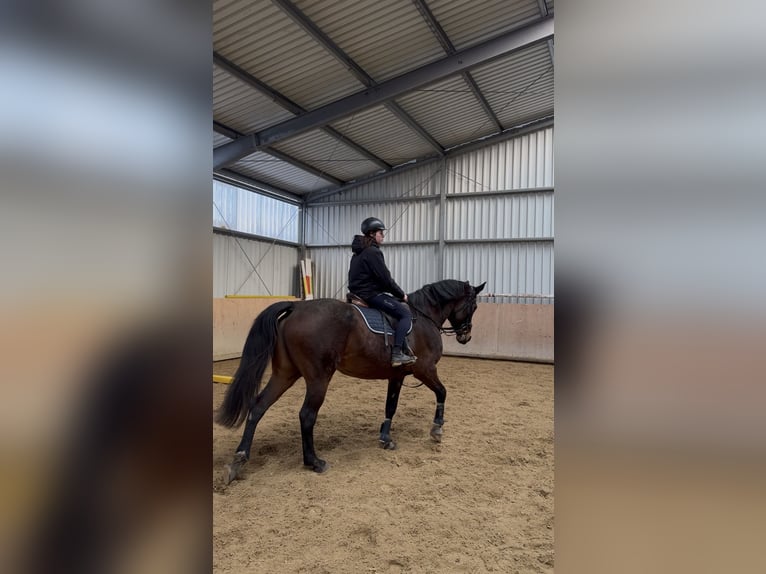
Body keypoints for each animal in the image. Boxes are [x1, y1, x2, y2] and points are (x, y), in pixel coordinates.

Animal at [216, 279, 486, 483]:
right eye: (473, 305)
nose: (466, 336)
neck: (423, 317)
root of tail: (295, 307)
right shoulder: (425, 369)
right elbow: (442, 392)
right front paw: (437, 429)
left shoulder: (397, 375)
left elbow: (390, 406)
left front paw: (385, 439)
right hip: (318, 378)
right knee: (306, 415)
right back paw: (314, 461)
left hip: (285, 374)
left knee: (258, 407)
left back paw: (239, 460)